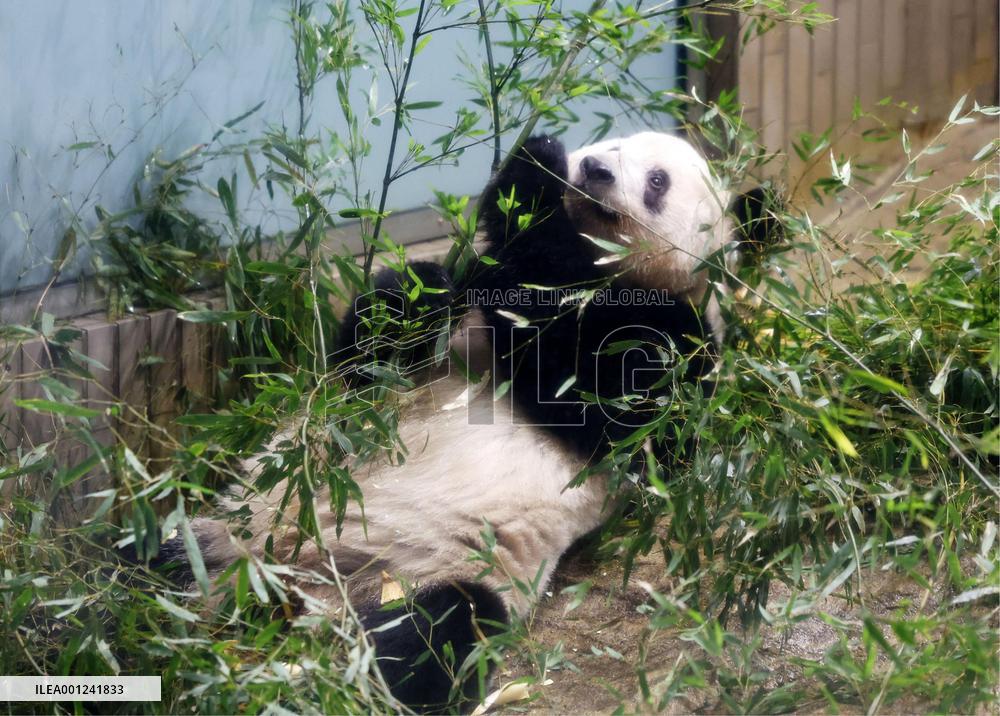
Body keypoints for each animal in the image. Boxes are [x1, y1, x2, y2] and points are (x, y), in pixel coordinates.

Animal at [158, 131, 774, 712]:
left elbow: (605, 398)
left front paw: (534, 180)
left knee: (437, 632)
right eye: (606, 146)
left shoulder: (678, 344)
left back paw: (322, 686)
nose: (594, 170)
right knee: (156, 555)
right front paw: (430, 282)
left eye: (657, 181)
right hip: (233, 523)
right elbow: (369, 355)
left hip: (427, 572)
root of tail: (284, 591)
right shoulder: (442, 336)